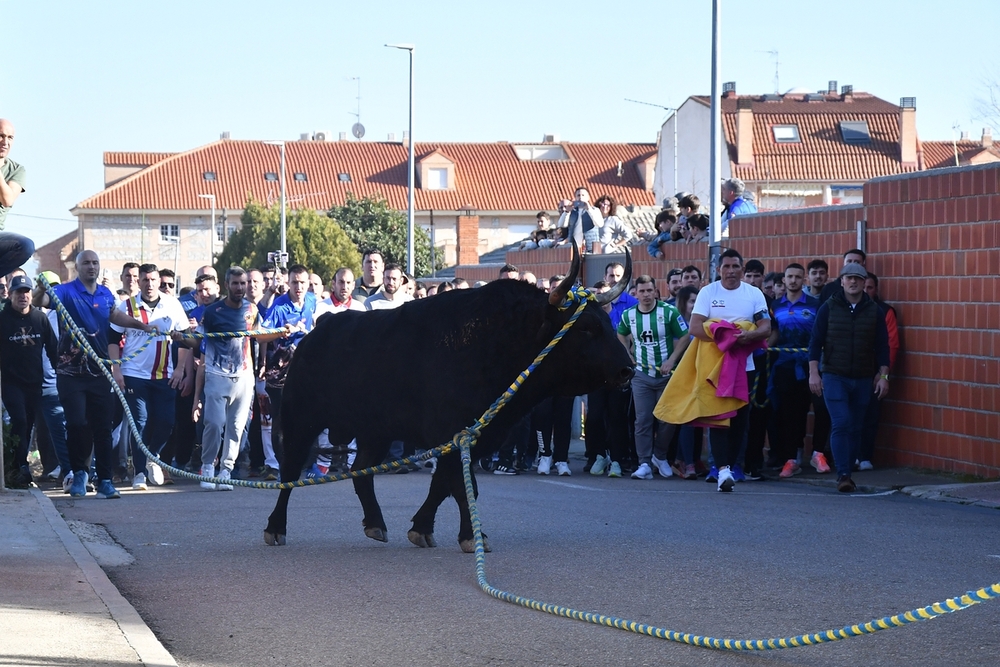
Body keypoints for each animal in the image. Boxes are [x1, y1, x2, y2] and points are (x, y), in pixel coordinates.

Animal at [264, 248, 632, 552]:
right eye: (585, 327)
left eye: (605, 321)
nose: (627, 369)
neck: (499, 340)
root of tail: (315, 332)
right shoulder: (455, 434)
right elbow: (461, 484)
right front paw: (473, 536)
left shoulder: (472, 436)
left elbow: (443, 484)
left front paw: (423, 529)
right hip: (301, 421)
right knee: (290, 470)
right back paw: (275, 528)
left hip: (375, 431)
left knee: (361, 471)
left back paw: (376, 525)